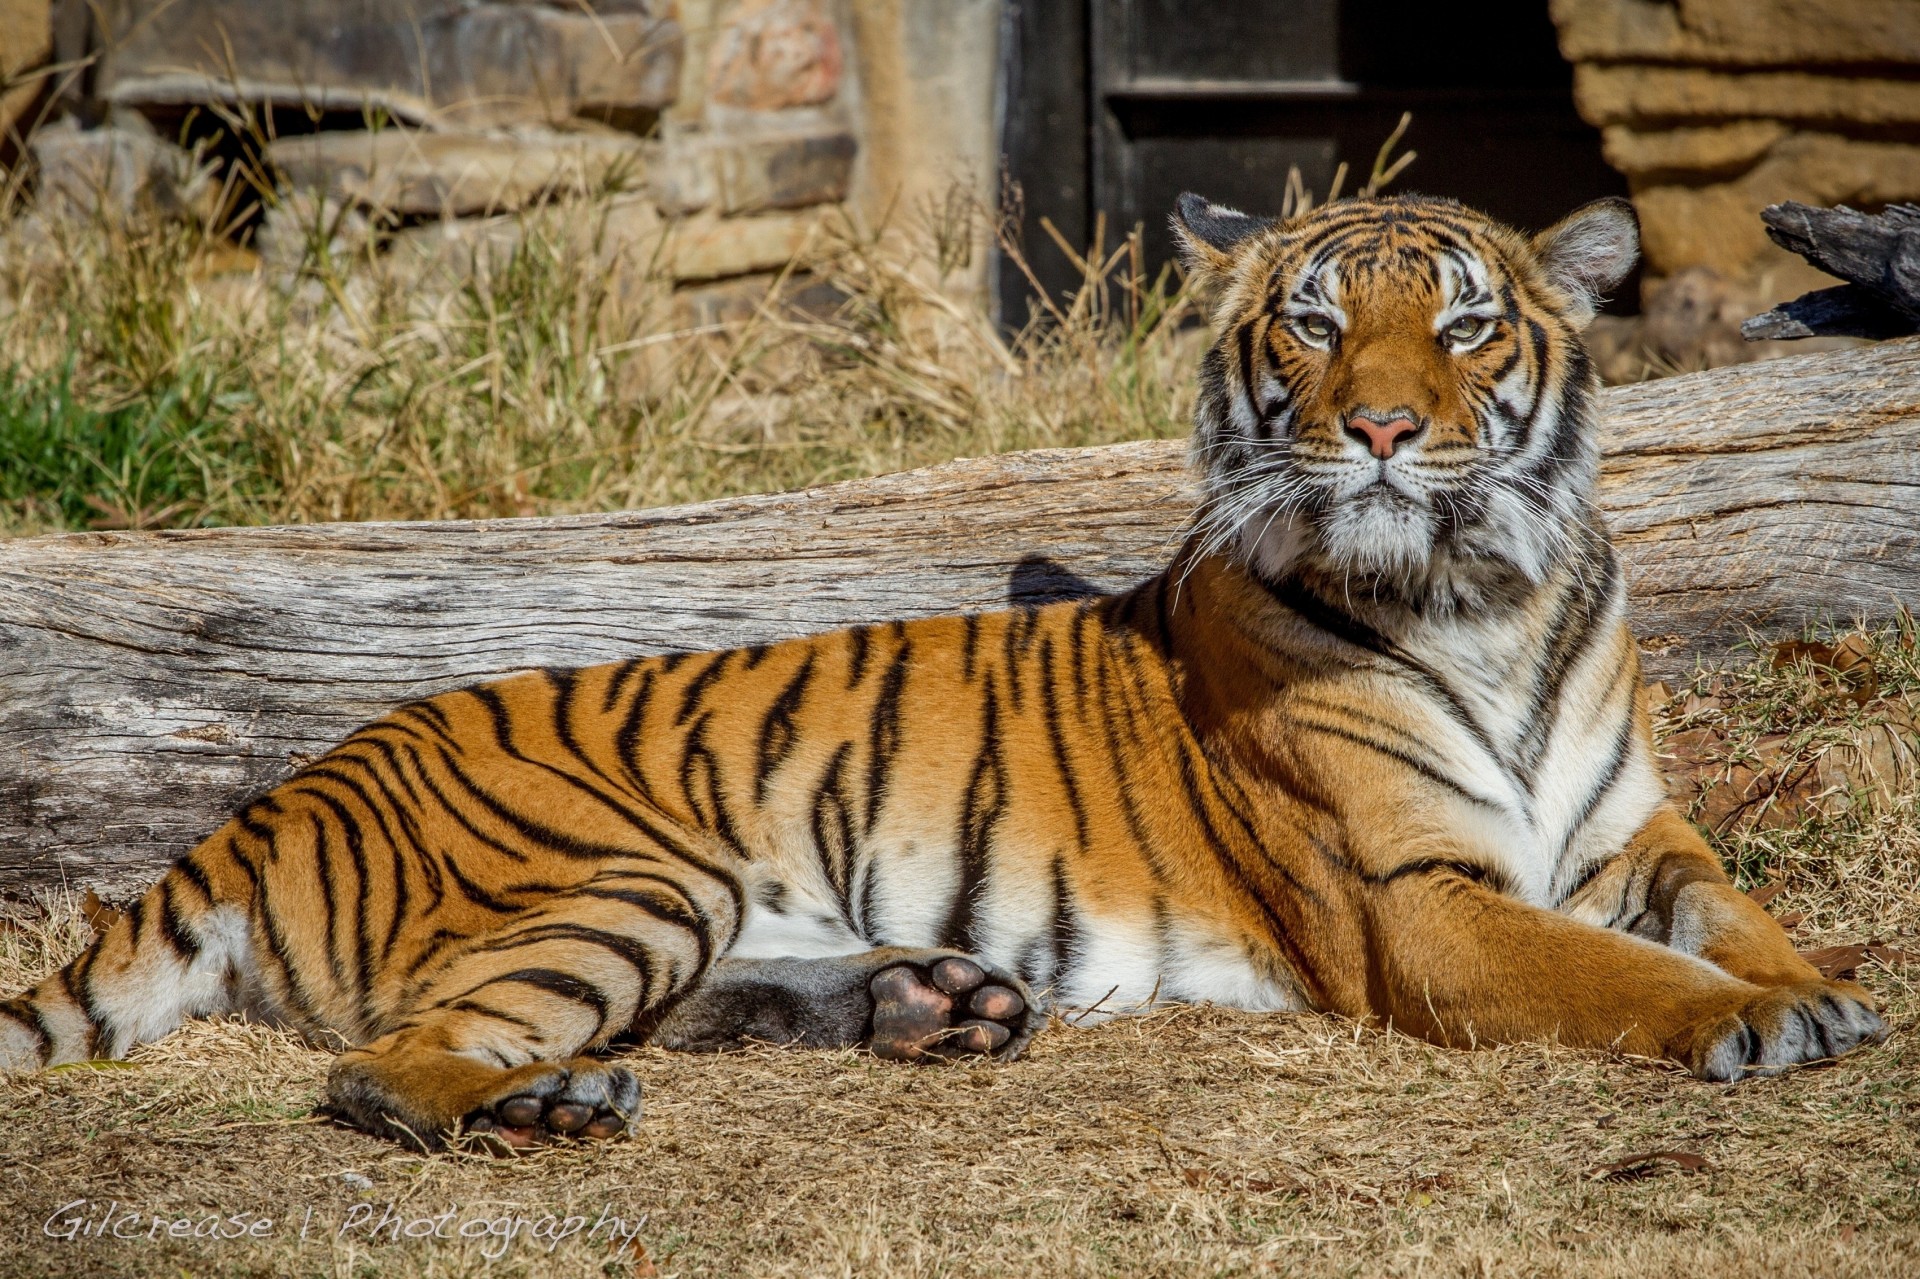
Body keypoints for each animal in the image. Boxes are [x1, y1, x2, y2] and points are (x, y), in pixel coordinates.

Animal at [0, 193, 1889, 1152]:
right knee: (389, 1062)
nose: (1379, 428)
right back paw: (552, 1102)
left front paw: (1827, 981)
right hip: (621, 878)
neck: (1482, 591)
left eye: (1467, 322)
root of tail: (278, 795)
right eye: (1314, 320)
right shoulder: (1417, 898)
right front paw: (1756, 1020)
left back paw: (929, 1003)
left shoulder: (1642, 836)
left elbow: (1740, 910)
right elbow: (1619, 975)